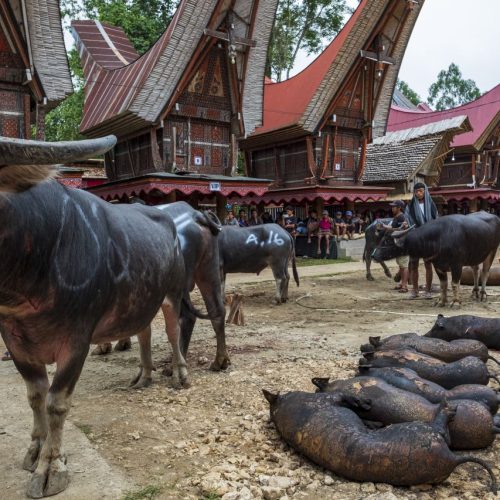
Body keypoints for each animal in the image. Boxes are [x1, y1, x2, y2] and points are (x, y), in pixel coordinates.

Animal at [0, 135, 192, 498]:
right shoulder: (14, 340)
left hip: (172, 293)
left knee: (174, 333)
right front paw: (36, 452)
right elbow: (35, 397)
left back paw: (180, 375)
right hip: (139, 298)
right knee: (144, 330)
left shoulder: (77, 340)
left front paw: (51, 469)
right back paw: (143, 376)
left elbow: (56, 402)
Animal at [262, 388, 496, 490]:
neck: (282, 407)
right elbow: (345, 396)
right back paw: (447, 408)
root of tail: (450, 459)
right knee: (443, 430)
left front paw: (368, 413)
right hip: (424, 431)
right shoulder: (329, 399)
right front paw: (364, 402)